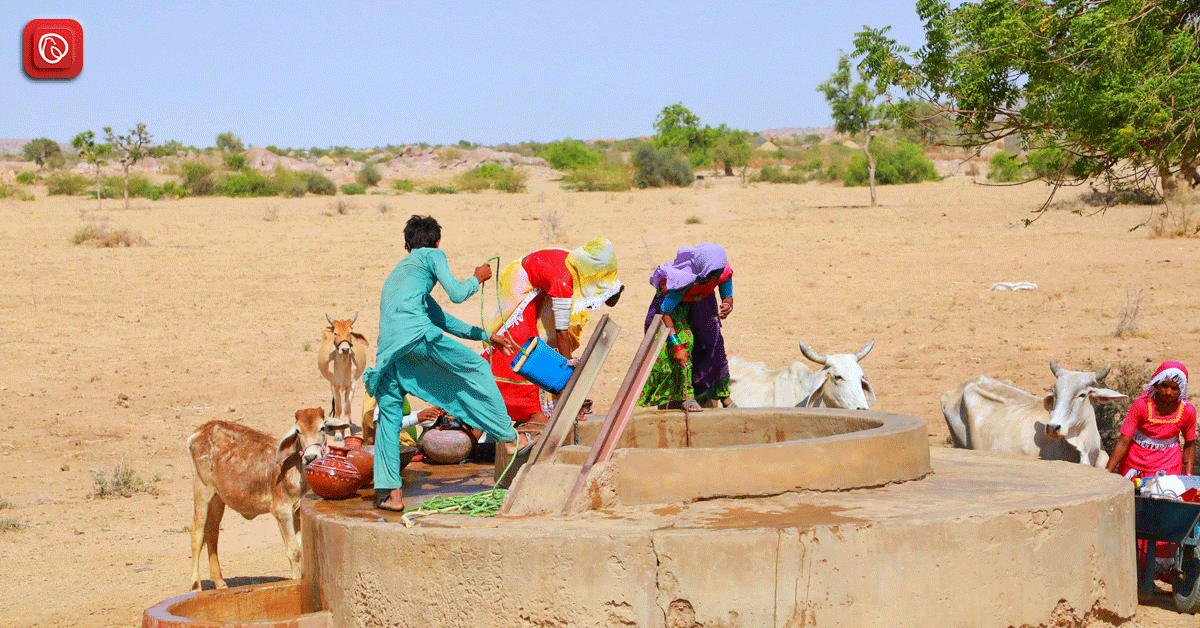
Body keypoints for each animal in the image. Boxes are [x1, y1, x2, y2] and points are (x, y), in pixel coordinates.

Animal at [186, 408, 348, 590]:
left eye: (322, 428)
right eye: (298, 431)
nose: (311, 457)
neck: (294, 469)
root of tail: (199, 431)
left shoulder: (297, 512)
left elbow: (301, 549)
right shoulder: (281, 511)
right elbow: (294, 552)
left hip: (217, 497)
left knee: (212, 530)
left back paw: (220, 583)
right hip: (202, 488)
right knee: (197, 531)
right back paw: (196, 586)